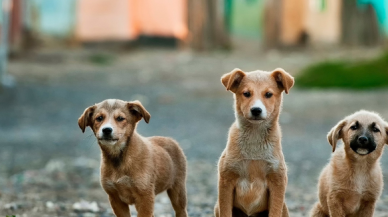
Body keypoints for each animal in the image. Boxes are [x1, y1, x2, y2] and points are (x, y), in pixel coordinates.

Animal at [215, 68, 294, 217]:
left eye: (268, 94)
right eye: (246, 93)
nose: (256, 110)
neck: (254, 138)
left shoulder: (277, 180)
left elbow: (274, 211)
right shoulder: (226, 179)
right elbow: (226, 211)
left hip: (285, 208)